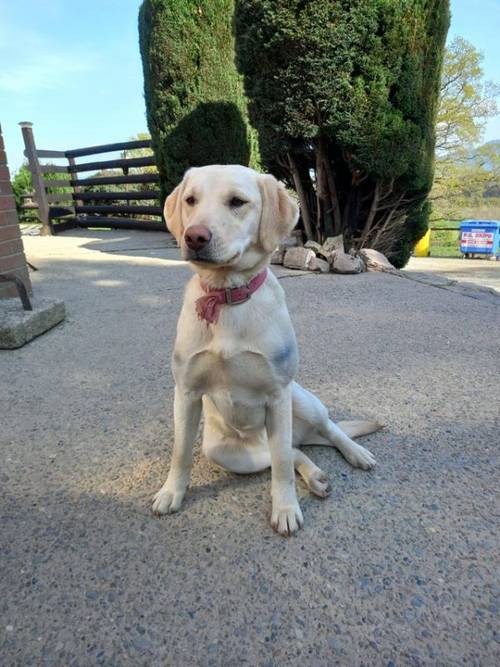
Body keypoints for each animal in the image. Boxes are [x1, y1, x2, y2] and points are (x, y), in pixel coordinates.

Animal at [152, 167, 378, 536]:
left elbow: (283, 465)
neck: (227, 296)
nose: (194, 236)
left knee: (323, 432)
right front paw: (172, 492)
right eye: (190, 200)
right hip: (226, 452)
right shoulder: (185, 393)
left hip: (301, 400)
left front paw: (285, 508)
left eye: (237, 202)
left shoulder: (278, 394)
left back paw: (355, 453)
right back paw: (315, 476)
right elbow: (180, 450)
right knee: (290, 451)